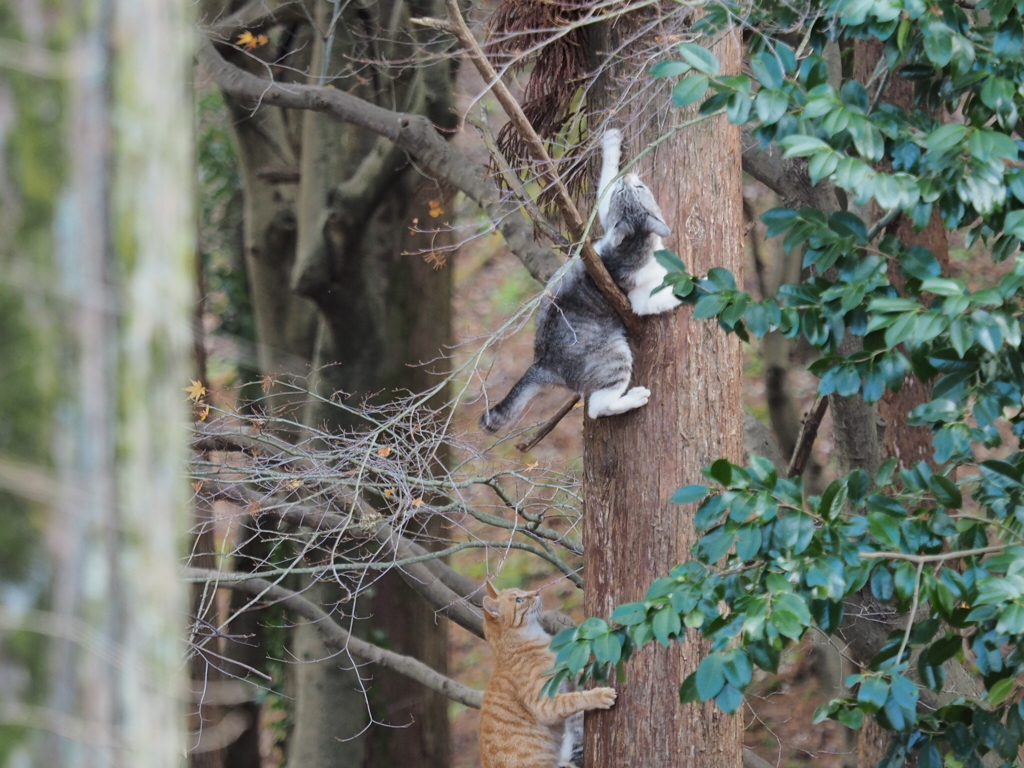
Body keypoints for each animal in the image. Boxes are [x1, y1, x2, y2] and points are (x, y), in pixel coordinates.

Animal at [479, 129, 679, 436]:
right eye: (630, 189)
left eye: (638, 187)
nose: (627, 178)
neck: (636, 243)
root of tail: (542, 364)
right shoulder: (639, 297)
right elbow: (668, 292)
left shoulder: (607, 222)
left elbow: (603, 190)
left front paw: (611, 142)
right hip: (614, 357)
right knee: (597, 407)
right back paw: (634, 398)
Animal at [479, 581, 614, 768]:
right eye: (519, 600)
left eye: (521, 591)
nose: (536, 592)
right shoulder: (545, 705)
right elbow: (574, 699)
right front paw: (599, 695)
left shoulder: (564, 678)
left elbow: (574, 673)